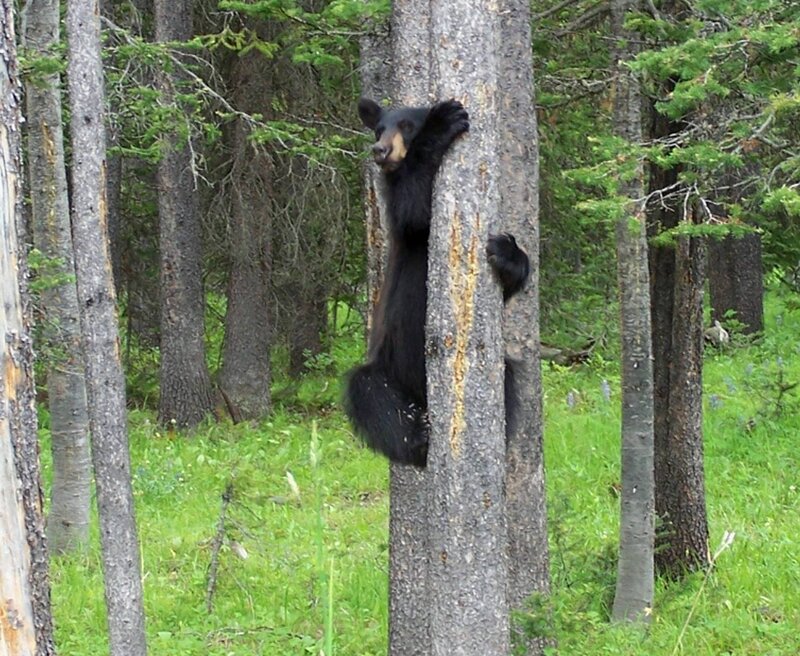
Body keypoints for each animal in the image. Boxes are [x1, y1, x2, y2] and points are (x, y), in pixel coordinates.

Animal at [344, 97, 530, 467]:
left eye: (406, 126)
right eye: (379, 128)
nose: (380, 150)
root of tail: (422, 395)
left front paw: (508, 253)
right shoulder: (403, 219)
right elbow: (413, 207)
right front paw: (445, 119)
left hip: (499, 371)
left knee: (509, 376)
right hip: (387, 366)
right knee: (369, 392)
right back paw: (416, 438)